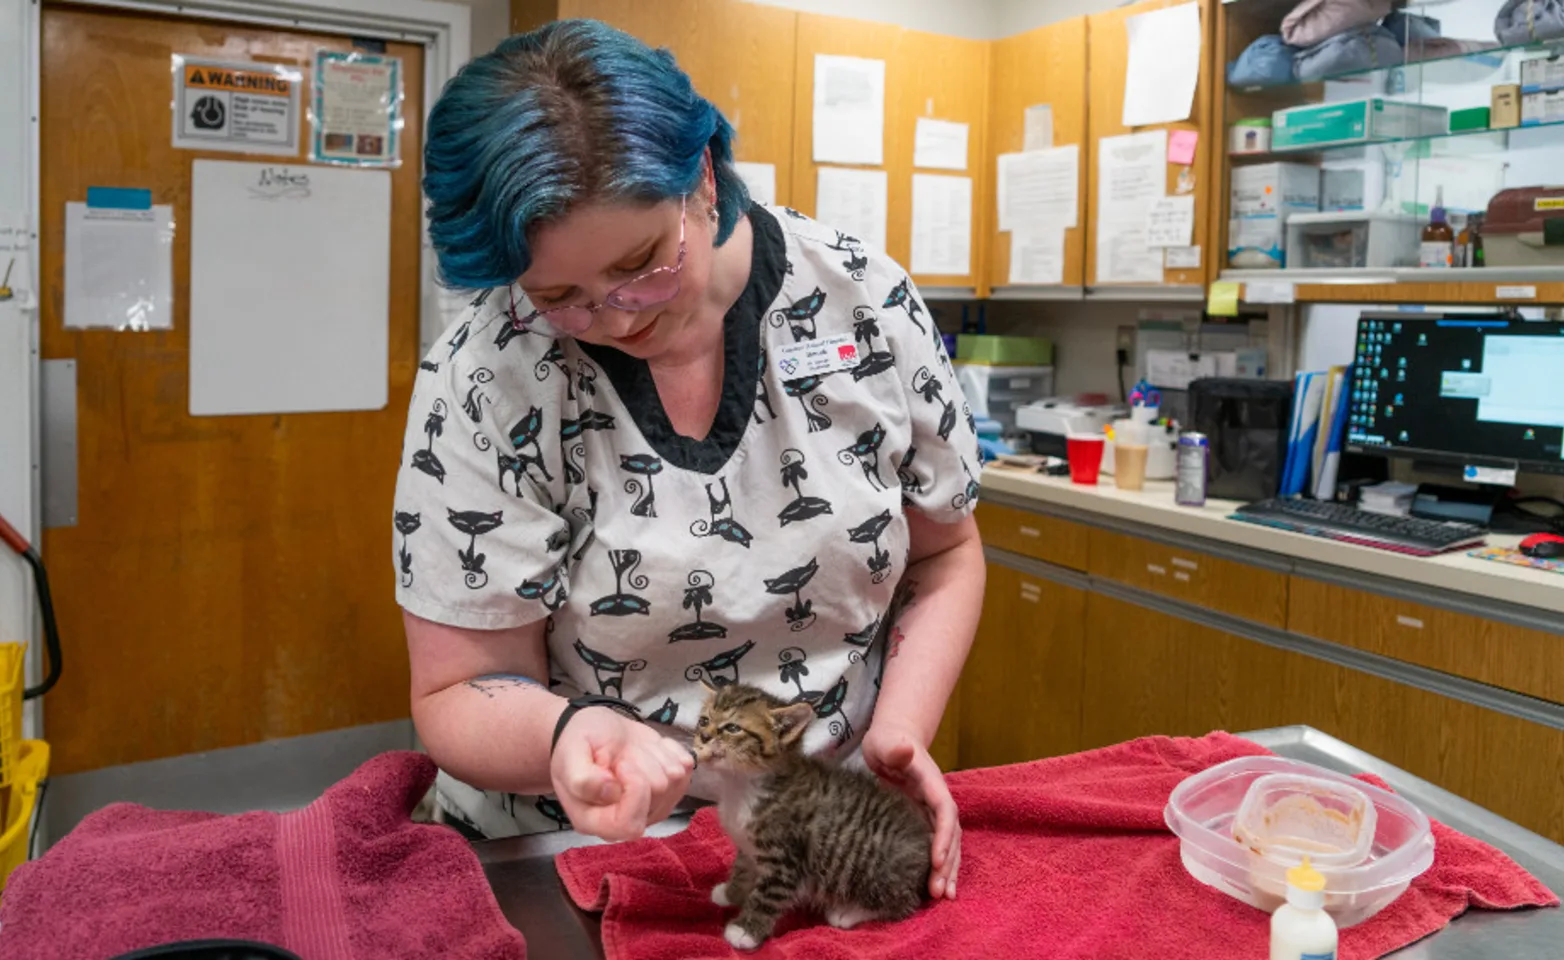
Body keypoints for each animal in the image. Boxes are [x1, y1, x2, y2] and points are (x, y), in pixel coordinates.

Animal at [688, 681, 925, 950]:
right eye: (704, 720)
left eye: (732, 728)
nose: (704, 736)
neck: (741, 785)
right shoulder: (748, 848)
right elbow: (742, 869)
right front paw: (730, 893)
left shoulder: (786, 859)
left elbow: (767, 896)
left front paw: (746, 930)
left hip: (875, 872)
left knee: (902, 904)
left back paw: (848, 912)